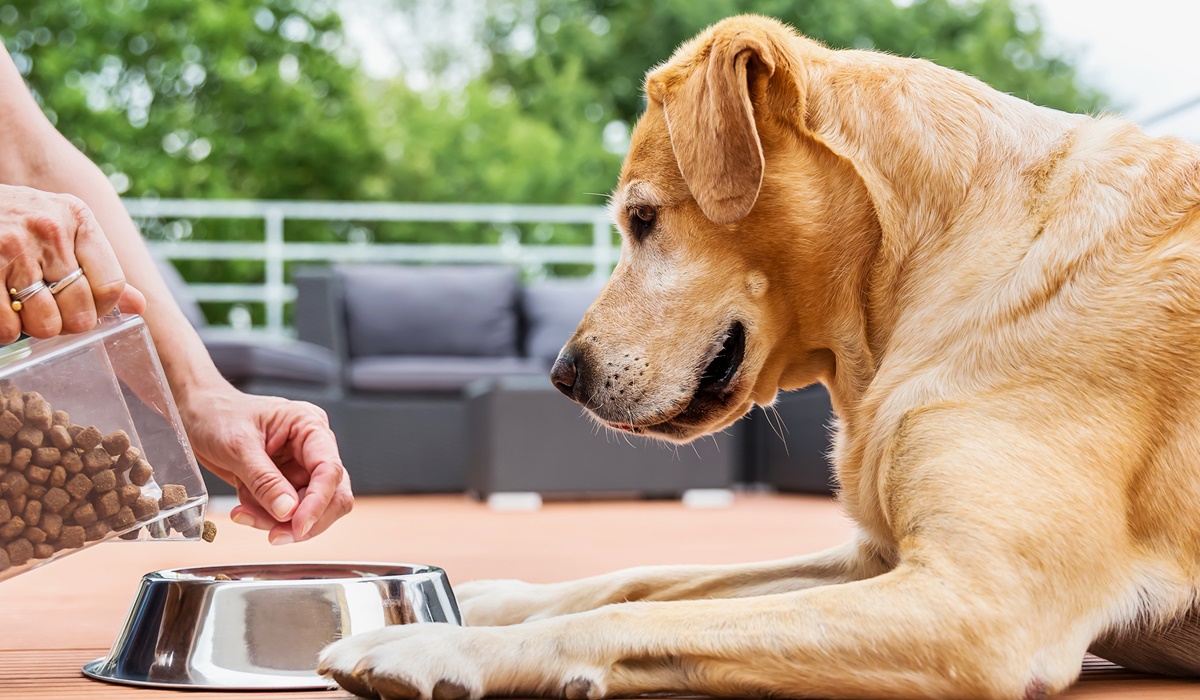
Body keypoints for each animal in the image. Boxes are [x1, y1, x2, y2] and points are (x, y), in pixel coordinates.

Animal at [319, 12, 1200, 700]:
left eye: (642, 219)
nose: (562, 376)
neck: (933, 260)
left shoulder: (981, 604)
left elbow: (639, 611)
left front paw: (438, 643)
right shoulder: (877, 559)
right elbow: (642, 579)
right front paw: (485, 599)